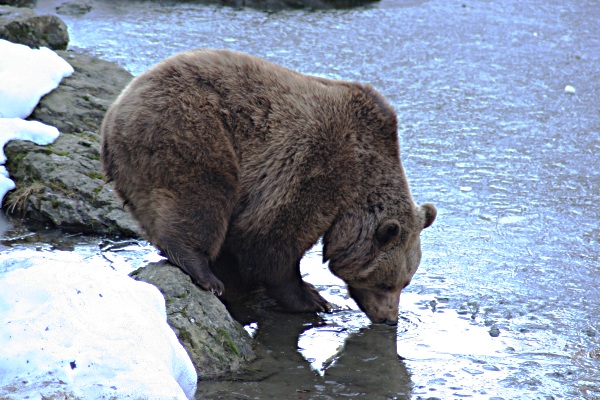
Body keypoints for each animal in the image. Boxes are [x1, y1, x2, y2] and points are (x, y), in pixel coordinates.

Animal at [102, 49, 436, 324]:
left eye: (405, 282)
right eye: (386, 283)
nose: (390, 318)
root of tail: (116, 111)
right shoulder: (316, 164)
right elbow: (271, 237)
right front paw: (312, 297)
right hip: (190, 128)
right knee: (202, 196)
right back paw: (204, 273)